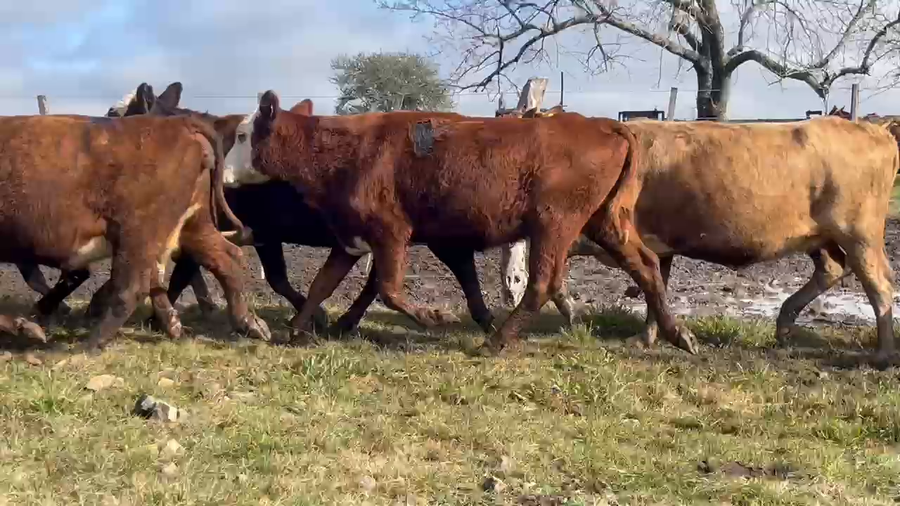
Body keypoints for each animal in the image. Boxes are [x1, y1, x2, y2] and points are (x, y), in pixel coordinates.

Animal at [0, 110, 270, 350]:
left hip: (136, 235)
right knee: (226, 259)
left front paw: (27, 326)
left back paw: (88, 345)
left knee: (130, 288)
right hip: (192, 226)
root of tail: (180, 123)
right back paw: (249, 324)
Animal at [223, 90, 698, 354]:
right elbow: (324, 284)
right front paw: (298, 329)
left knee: (543, 282)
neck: (349, 149)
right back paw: (678, 334)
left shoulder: (391, 233)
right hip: (604, 222)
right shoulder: (352, 238)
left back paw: (496, 342)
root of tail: (603, 126)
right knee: (646, 266)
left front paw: (431, 317)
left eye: (243, 136)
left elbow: (389, 289)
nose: (224, 176)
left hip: (554, 224)